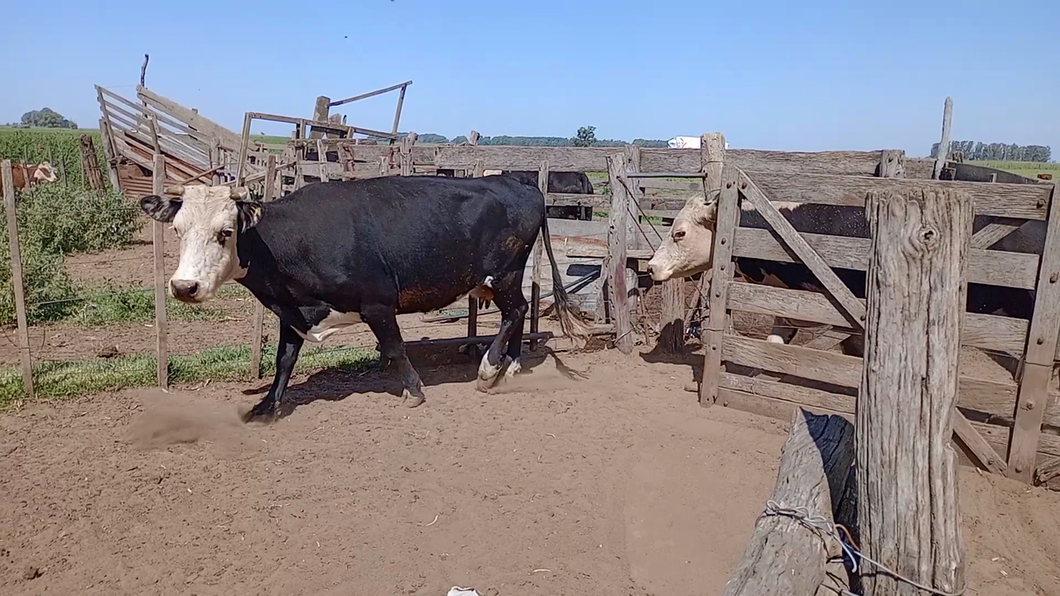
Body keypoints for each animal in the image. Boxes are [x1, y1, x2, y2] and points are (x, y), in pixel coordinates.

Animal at [136, 176, 593, 417]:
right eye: (177, 230)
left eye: (225, 232)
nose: (184, 286)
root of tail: (516, 180)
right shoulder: (291, 312)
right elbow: (284, 358)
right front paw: (267, 405)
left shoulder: (377, 303)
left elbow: (394, 347)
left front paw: (413, 390)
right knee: (519, 311)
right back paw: (510, 366)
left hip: (504, 275)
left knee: (516, 311)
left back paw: (489, 369)